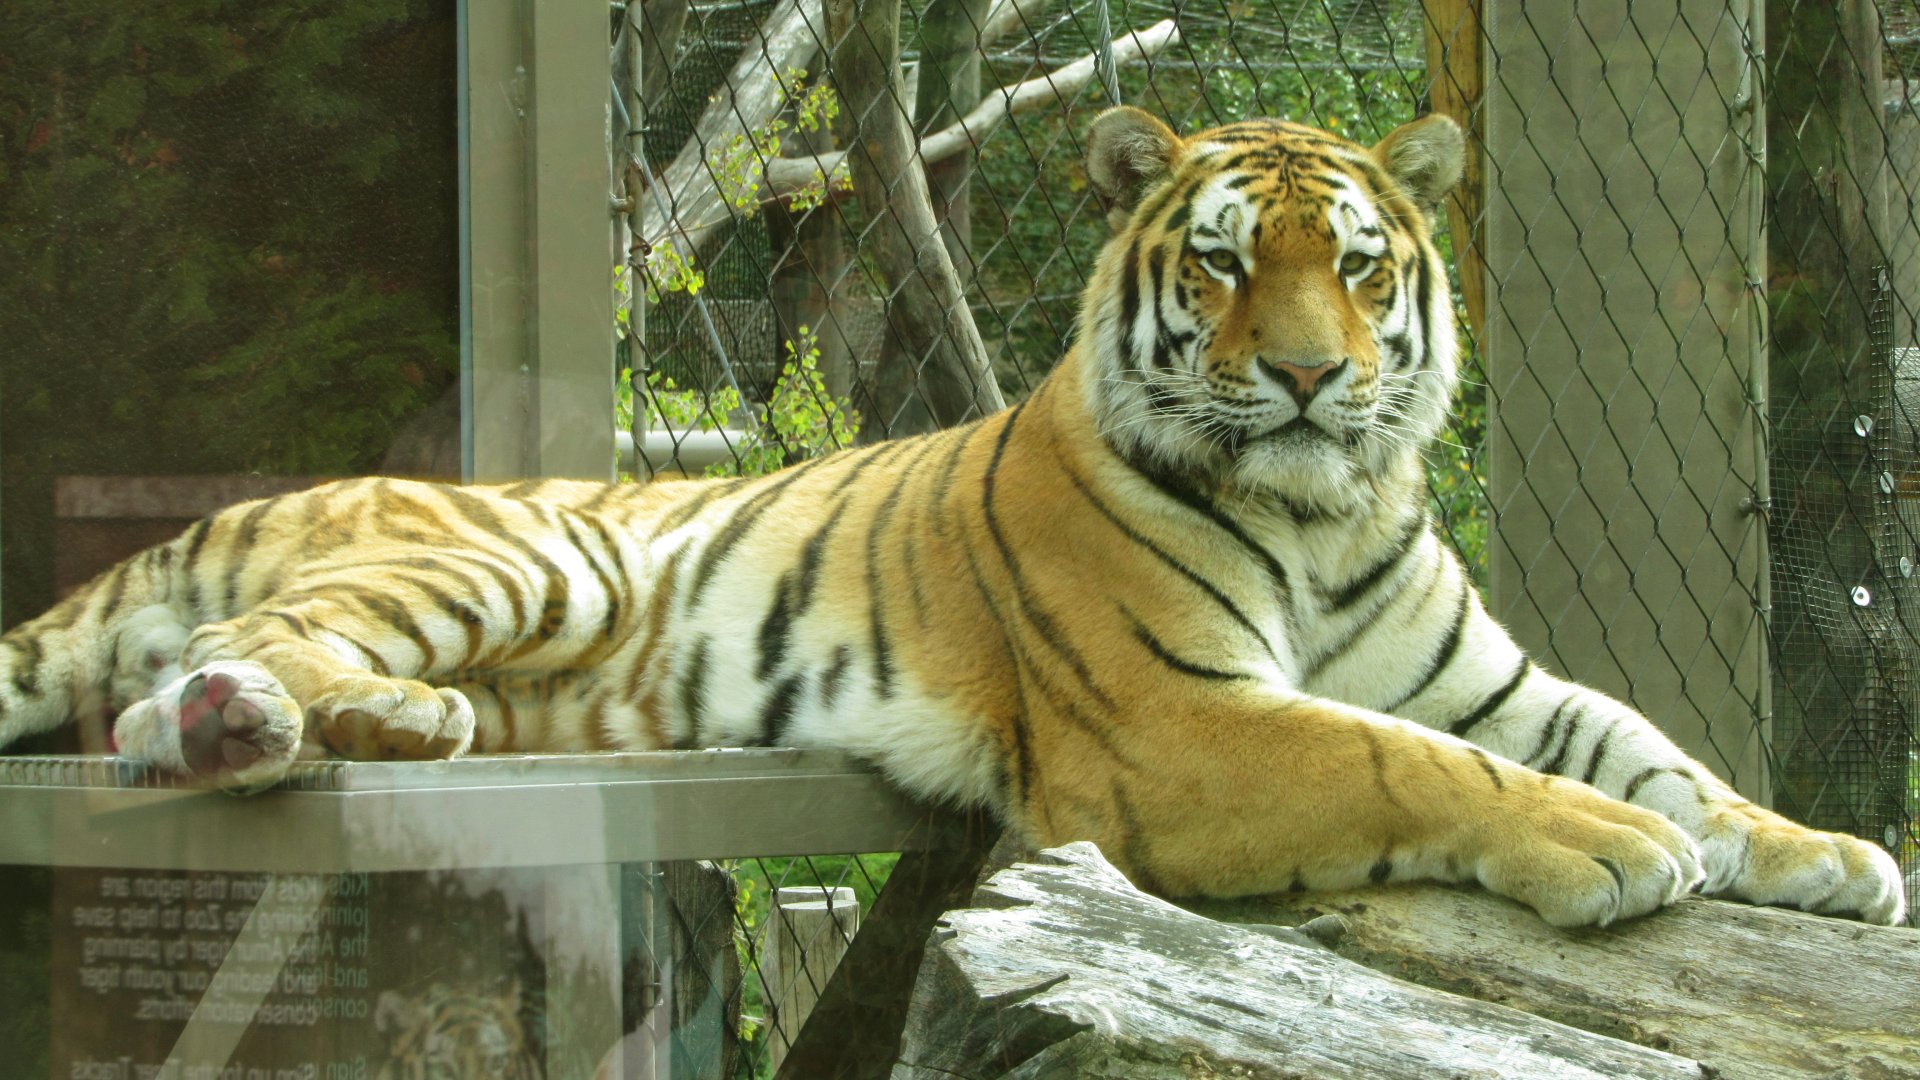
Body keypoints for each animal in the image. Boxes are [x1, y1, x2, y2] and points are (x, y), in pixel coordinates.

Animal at [0, 108, 1904, 928]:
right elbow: (1409, 765)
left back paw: (388, 730)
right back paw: (255, 724)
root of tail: (258, 495)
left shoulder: (1489, 682)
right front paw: (1614, 852)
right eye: (1227, 266)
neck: (1322, 508)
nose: (1307, 378)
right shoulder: (1173, 721)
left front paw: (1823, 854)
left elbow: (1650, 745)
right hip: (517, 556)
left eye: (1361, 267)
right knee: (221, 657)